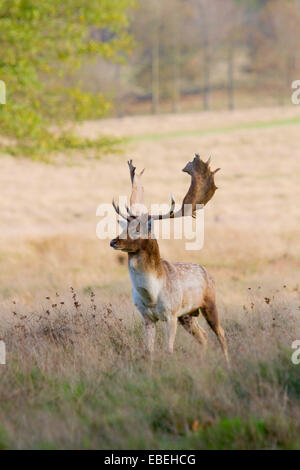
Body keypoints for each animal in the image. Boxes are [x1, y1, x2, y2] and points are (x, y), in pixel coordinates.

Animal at [110, 156, 230, 366]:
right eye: (125, 226)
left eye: (139, 229)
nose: (113, 241)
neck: (151, 295)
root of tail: (207, 272)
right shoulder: (146, 316)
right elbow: (148, 351)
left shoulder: (171, 314)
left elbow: (169, 350)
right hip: (188, 315)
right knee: (203, 336)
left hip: (209, 302)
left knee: (221, 334)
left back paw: (228, 363)